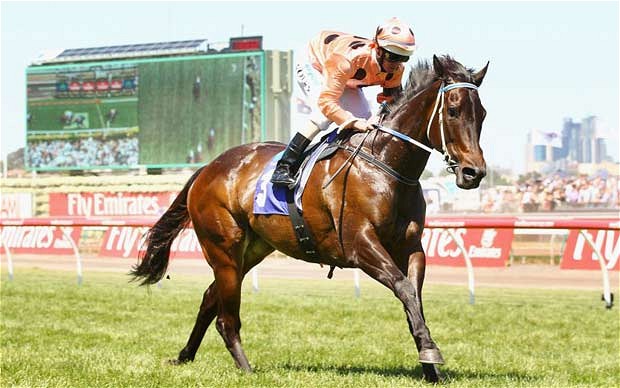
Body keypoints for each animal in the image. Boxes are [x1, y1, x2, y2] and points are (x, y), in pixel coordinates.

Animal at [131, 54, 490, 382]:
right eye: (453, 110)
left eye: (482, 114)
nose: (474, 173)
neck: (385, 166)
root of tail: (209, 167)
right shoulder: (360, 245)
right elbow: (403, 287)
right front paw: (430, 351)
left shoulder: (411, 247)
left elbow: (412, 296)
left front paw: (429, 365)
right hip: (223, 248)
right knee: (226, 318)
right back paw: (246, 368)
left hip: (251, 249)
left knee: (209, 299)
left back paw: (184, 356)